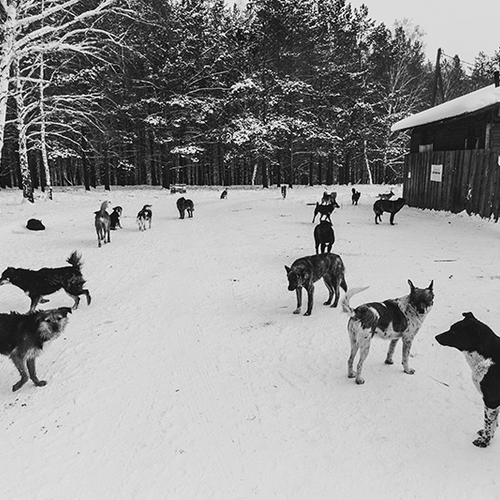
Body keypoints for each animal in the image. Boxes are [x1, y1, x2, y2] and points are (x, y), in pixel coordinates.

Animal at [434, 312, 500, 450]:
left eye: (454, 331)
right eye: (451, 328)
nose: (436, 337)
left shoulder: (491, 400)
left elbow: (489, 424)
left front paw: (484, 441)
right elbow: (493, 423)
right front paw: (487, 436)